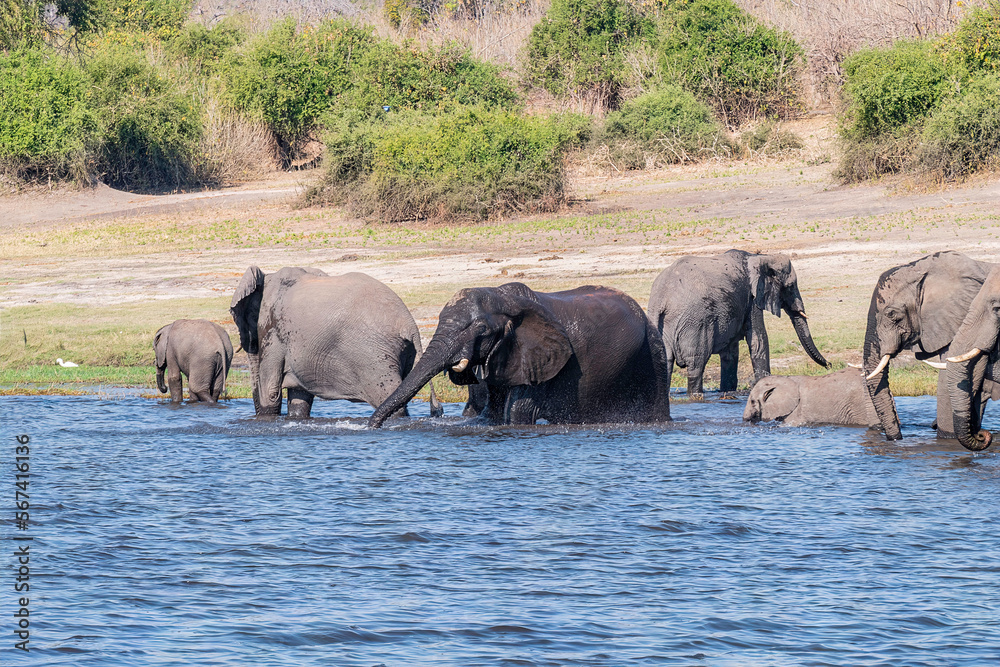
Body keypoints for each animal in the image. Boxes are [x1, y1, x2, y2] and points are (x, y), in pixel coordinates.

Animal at [230, 267, 442, 418]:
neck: (268, 278)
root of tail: (410, 324)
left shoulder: (274, 330)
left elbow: (270, 393)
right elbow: (299, 397)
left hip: (374, 358)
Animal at [368, 282, 673, 427]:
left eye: (480, 329)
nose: (373, 427)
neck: (505, 300)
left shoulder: (541, 362)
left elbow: (517, 412)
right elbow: (490, 415)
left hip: (653, 353)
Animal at [647, 249, 829, 396]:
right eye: (790, 286)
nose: (829, 365)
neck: (761, 257)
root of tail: (660, 299)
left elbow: (731, 352)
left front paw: (727, 392)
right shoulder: (752, 298)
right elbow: (758, 340)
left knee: (667, 363)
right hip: (695, 324)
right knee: (696, 365)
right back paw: (695, 396)